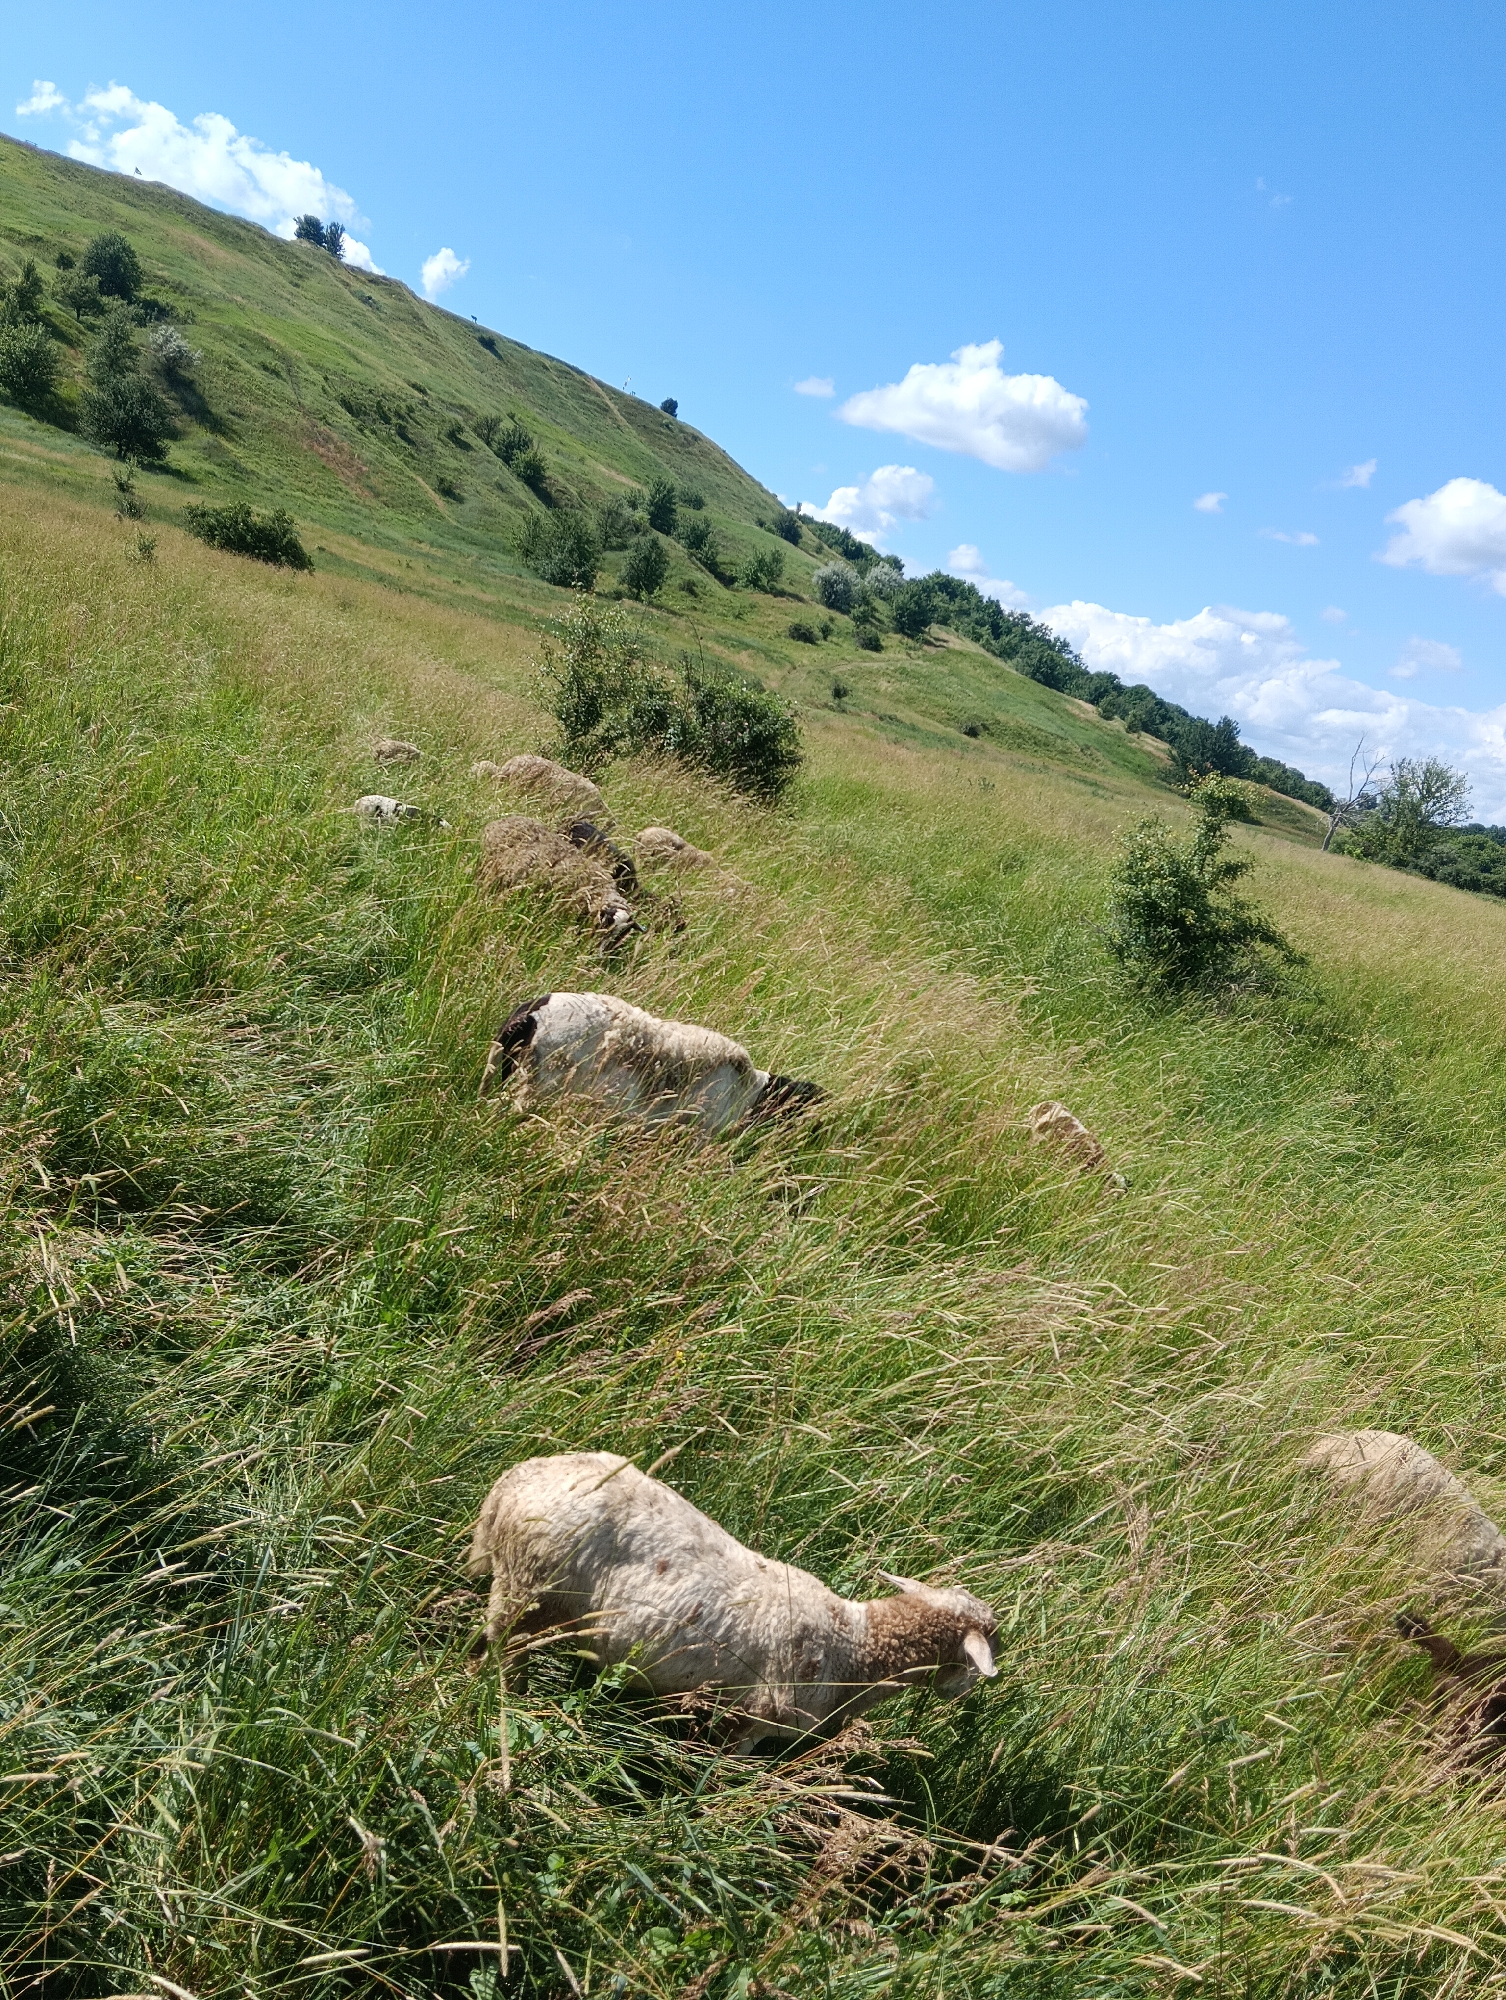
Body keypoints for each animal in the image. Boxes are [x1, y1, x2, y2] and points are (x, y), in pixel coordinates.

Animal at [467, 1451, 997, 1751]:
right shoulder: (750, 1720)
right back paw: (509, 1704)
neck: (854, 1643)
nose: (963, 1694)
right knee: (503, 1653)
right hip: (528, 1589)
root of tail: (510, 1485)